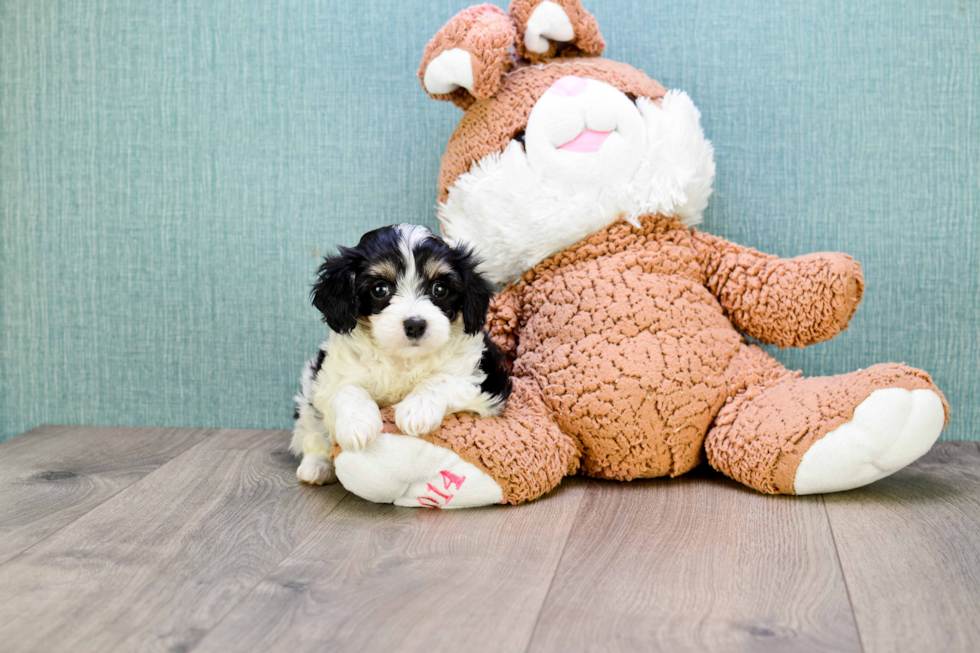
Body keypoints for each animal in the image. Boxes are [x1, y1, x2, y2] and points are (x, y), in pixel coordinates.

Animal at [290, 224, 512, 484]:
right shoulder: (330, 375)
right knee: (312, 431)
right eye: (379, 289)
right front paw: (357, 424)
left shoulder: (487, 382)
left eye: (439, 289)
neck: (403, 358)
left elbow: (444, 379)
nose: (415, 324)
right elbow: (345, 389)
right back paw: (316, 465)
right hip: (309, 390)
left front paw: (417, 409)